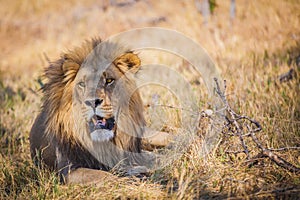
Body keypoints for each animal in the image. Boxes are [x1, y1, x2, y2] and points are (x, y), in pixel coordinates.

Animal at [30, 37, 171, 184]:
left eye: (109, 80)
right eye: (82, 84)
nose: (92, 102)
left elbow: (155, 158)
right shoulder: (68, 171)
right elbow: (106, 176)